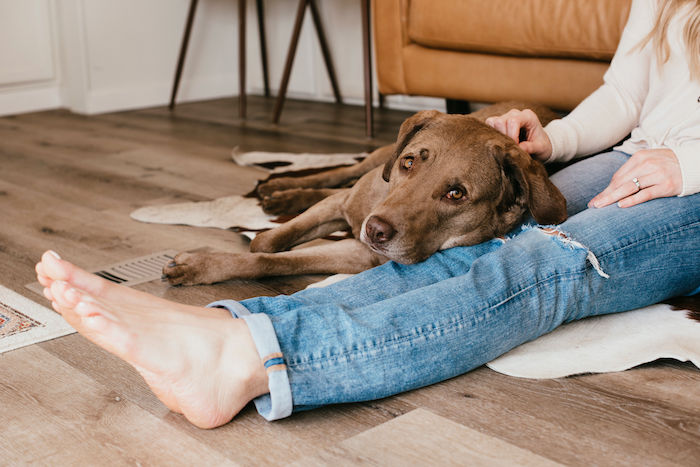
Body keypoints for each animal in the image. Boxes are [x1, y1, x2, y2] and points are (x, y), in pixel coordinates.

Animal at [161, 105, 568, 286]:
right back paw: (279, 189)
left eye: (456, 193)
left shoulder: (359, 255)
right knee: (342, 174)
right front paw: (267, 232)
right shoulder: (347, 202)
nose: (375, 230)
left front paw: (203, 265)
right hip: (377, 156)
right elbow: (270, 241)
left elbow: (275, 260)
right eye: (408, 163)